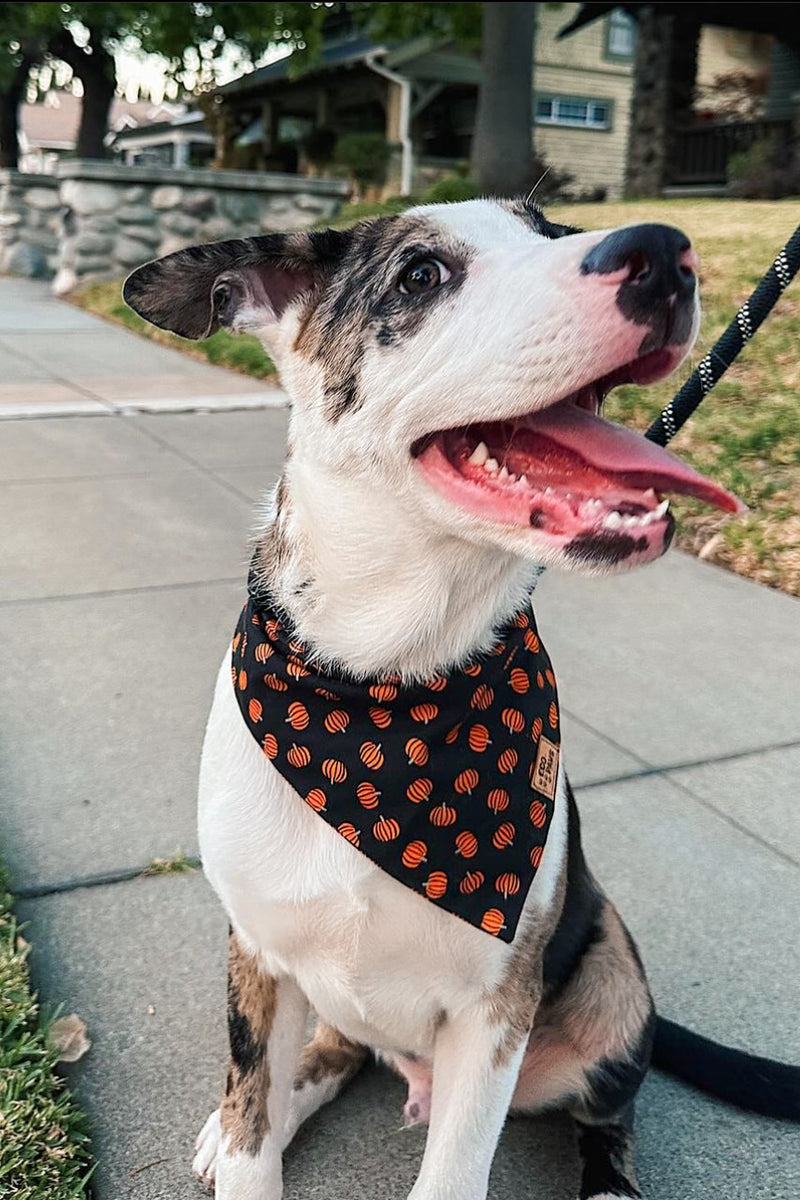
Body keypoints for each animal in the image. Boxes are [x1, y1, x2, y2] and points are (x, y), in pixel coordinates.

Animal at [125, 201, 800, 1200]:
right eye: (420, 276)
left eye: (554, 230)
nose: (665, 252)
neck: (387, 686)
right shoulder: (257, 953)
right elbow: (252, 1126)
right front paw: (244, 1129)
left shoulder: (496, 1010)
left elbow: (454, 1171)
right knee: (331, 1054)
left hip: (610, 980)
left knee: (611, 1116)